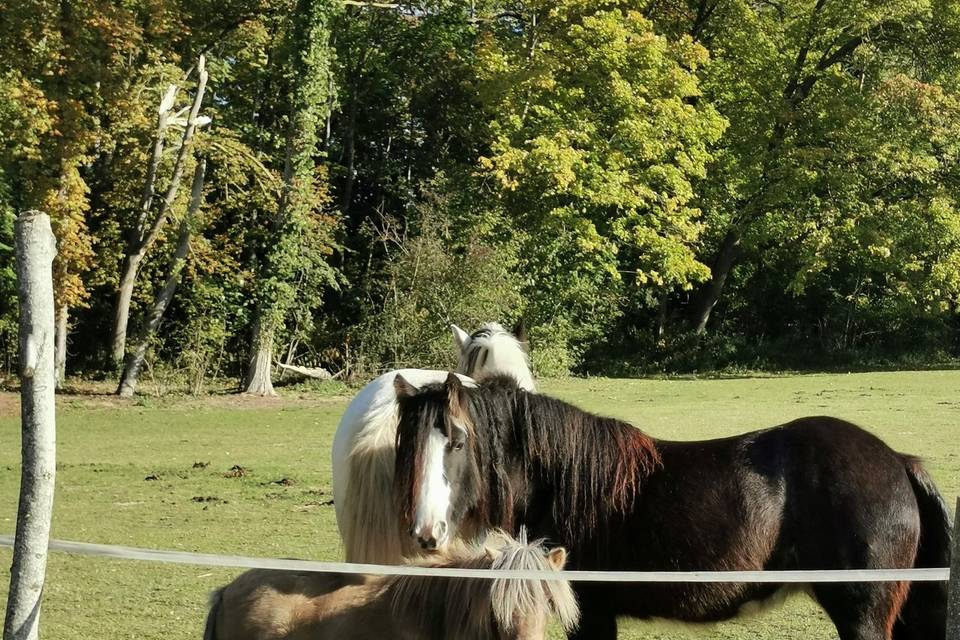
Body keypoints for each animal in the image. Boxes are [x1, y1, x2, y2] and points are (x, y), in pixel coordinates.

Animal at [392, 372, 952, 640]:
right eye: (407, 445)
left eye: (457, 441)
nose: (426, 534)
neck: (565, 482)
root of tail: (898, 461)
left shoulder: (590, 615)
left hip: (863, 618)